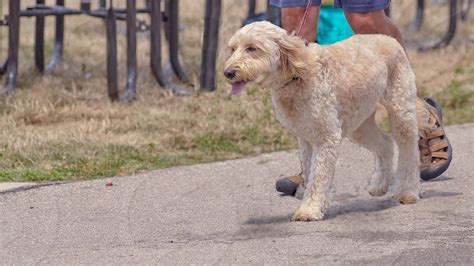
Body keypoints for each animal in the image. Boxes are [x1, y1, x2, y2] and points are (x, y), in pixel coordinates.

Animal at [224, 20, 420, 221]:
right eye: (233, 49)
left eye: (252, 48)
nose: (228, 73)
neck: (295, 74)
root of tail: (390, 39)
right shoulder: (305, 139)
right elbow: (309, 170)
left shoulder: (326, 137)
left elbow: (318, 176)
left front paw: (309, 209)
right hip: (360, 125)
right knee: (386, 143)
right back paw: (380, 184)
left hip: (401, 112)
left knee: (409, 152)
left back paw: (407, 191)